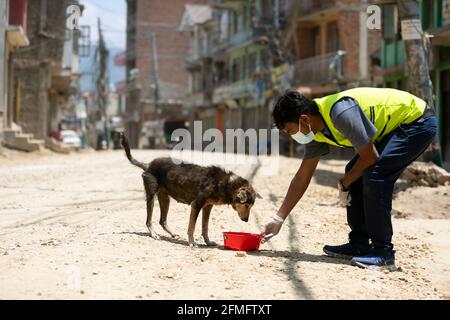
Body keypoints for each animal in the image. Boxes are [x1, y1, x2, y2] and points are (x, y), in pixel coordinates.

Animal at [120, 132, 260, 248]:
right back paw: (154, 234)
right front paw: (192, 242)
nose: (246, 220)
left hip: (165, 198)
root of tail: (148, 165)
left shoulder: (207, 207)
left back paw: (172, 234)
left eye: (251, 206)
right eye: (246, 205)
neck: (227, 184)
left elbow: (205, 227)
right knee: (149, 220)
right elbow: (191, 227)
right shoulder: (196, 205)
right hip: (151, 196)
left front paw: (208, 242)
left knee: (162, 220)